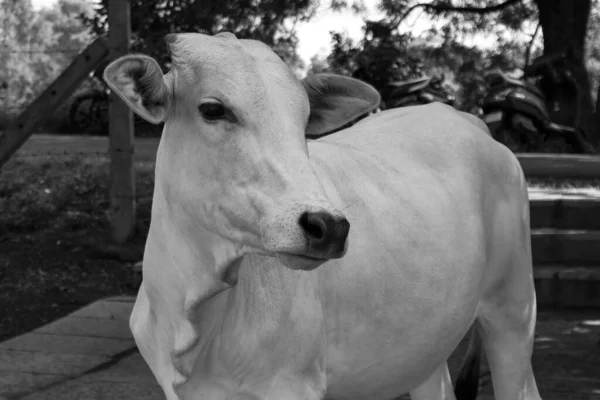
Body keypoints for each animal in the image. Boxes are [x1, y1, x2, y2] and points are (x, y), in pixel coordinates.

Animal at [104, 31, 544, 400]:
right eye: (213, 109)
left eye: (303, 123)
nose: (328, 226)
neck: (192, 314)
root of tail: (466, 119)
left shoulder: (289, 385)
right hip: (426, 349)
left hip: (514, 311)